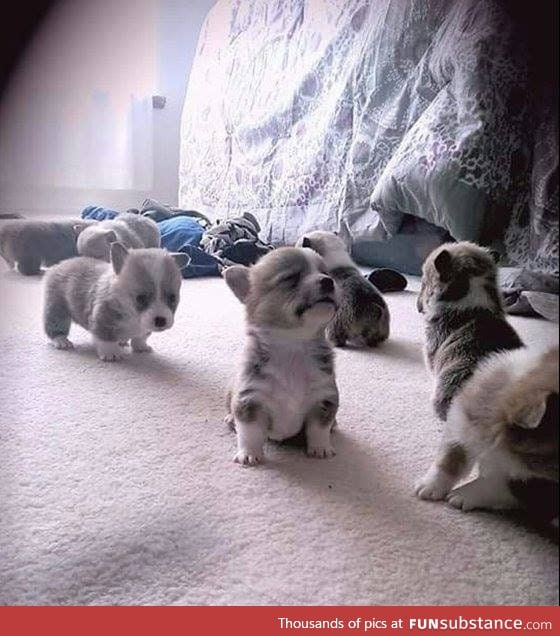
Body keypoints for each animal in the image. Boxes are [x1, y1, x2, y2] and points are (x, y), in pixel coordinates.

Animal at [224, 248, 340, 468]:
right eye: (291, 278)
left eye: (326, 272)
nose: (329, 281)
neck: (293, 345)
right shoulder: (250, 399)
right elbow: (250, 432)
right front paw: (249, 454)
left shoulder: (323, 398)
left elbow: (319, 429)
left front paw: (320, 448)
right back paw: (229, 418)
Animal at [414, 342, 556, 516]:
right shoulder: (462, 420)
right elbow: (450, 457)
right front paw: (429, 486)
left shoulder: (539, 483)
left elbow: (500, 485)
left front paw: (462, 495)